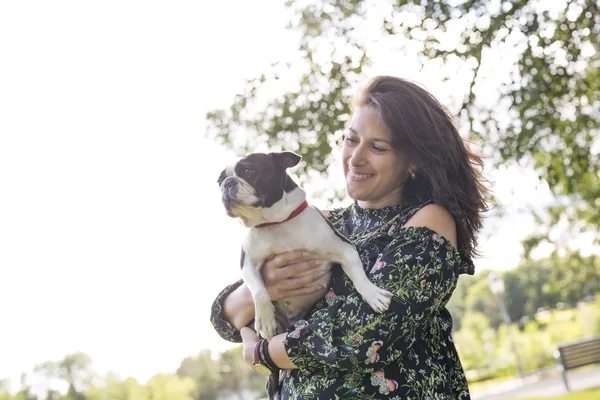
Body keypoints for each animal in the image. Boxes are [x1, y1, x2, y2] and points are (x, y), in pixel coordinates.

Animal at [218, 152, 392, 396]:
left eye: (249, 171)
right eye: (218, 181)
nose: (227, 184)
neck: (275, 223)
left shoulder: (345, 249)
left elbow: (359, 277)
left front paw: (373, 295)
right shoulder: (248, 265)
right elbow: (259, 292)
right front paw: (265, 319)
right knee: (272, 381)